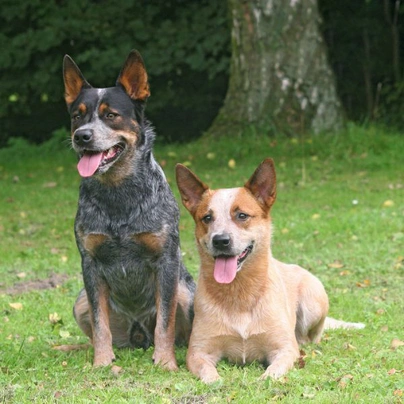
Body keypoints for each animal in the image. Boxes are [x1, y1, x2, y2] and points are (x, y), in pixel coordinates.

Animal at [62, 49, 195, 370]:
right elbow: (100, 323)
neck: (118, 198)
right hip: (80, 301)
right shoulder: (90, 263)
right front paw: (101, 362)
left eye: (110, 115)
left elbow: (165, 322)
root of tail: (137, 335)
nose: (82, 136)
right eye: (77, 116)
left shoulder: (166, 261)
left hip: (186, 293)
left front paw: (166, 362)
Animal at [175, 158, 364, 382]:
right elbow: (209, 375)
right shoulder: (198, 351)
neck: (239, 294)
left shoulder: (284, 349)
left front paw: (263, 380)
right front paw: (216, 381)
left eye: (242, 215)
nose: (220, 240)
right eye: (206, 218)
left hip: (313, 301)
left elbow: (273, 373)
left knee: (310, 336)